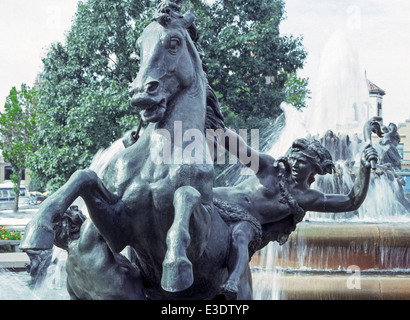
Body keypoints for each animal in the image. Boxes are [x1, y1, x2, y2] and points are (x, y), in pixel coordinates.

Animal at [22, 5, 255, 300]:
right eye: (139, 46)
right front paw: (37, 228)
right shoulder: (118, 226)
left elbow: (185, 194)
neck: (159, 158)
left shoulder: (202, 241)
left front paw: (176, 267)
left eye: (174, 42)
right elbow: (83, 176)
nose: (141, 92)